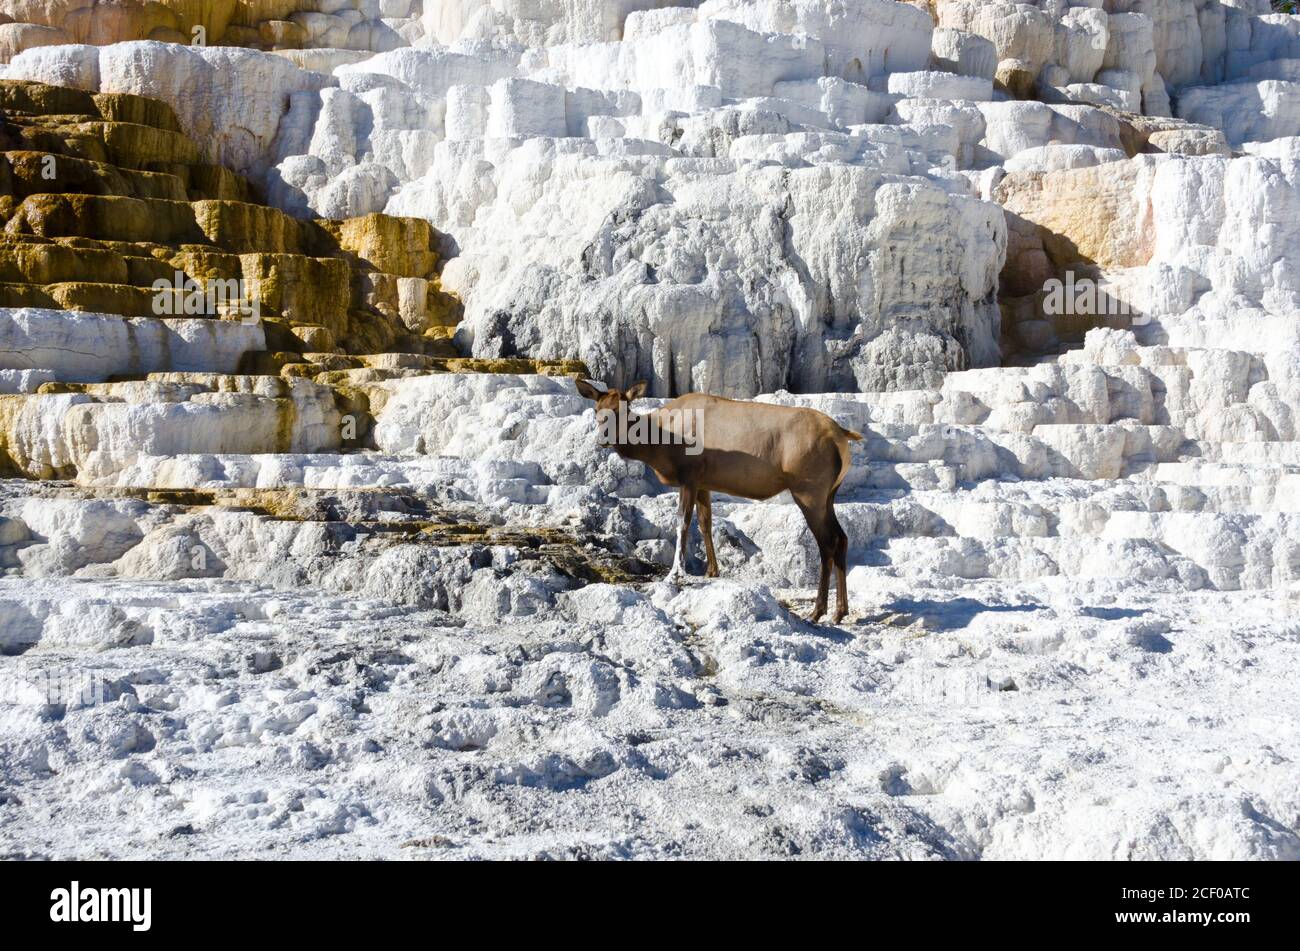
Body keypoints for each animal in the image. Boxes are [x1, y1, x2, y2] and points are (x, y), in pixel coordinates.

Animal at [575, 379, 863, 624]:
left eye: (622, 409)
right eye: (597, 409)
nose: (603, 439)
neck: (659, 445)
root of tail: (842, 435)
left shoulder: (689, 476)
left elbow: (682, 523)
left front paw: (675, 573)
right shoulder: (704, 483)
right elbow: (705, 523)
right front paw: (712, 571)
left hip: (809, 491)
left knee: (827, 542)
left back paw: (818, 611)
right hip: (828, 494)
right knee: (842, 538)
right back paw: (840, 611)